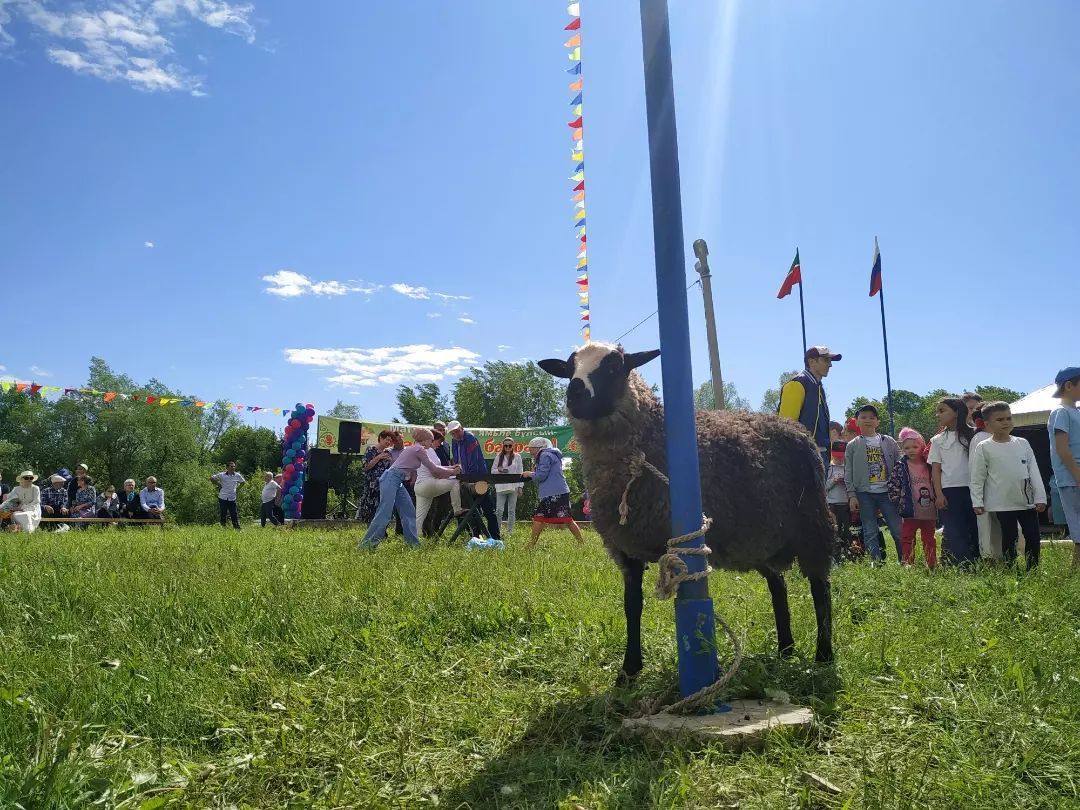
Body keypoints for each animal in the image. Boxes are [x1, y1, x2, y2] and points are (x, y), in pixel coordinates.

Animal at [540, 339, 833, 682]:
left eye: (614, 365)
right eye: (568, 368)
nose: (575, 394)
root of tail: (796, 428)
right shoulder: (625, 549)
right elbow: (632, 605)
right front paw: (628, 671)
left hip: (813, 525)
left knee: (820, 589)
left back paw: (824, 655)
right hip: (762, 537)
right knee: (779, 586)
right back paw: (785, 649)